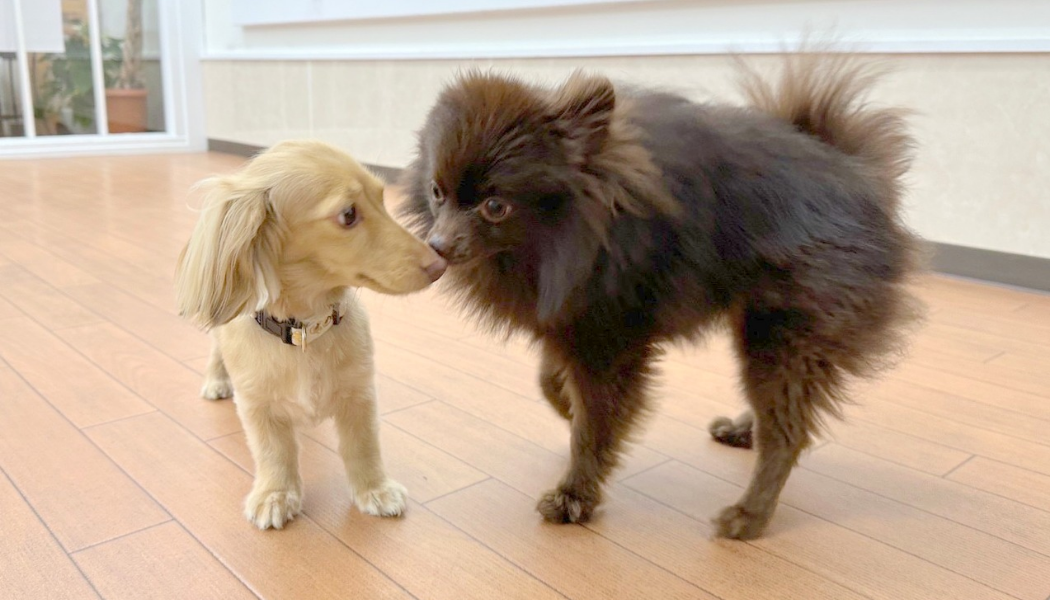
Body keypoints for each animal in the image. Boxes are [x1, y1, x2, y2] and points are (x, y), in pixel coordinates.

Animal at [177, 139, 447, 529]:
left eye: (382, 200)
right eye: (348, 214)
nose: (440, 264)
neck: (305, 331)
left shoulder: (359, 394)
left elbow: (363, 446)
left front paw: (374, 489)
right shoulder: (258, 407)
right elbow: (274, 453)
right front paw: (274, 494)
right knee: (216, 352)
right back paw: (215, 381)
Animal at [398, 52, 919, 538]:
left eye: (495, 206)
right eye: (437, 193)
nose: (438, 244)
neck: (570, 237)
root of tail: (857, 174)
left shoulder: (608, 338)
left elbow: (596, 423)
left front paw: (574, 495)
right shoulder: (572, 317)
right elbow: (551, 382)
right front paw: (567, 407)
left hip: (784, 329)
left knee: (787, 433)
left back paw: (749, 516)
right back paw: (744, 431)